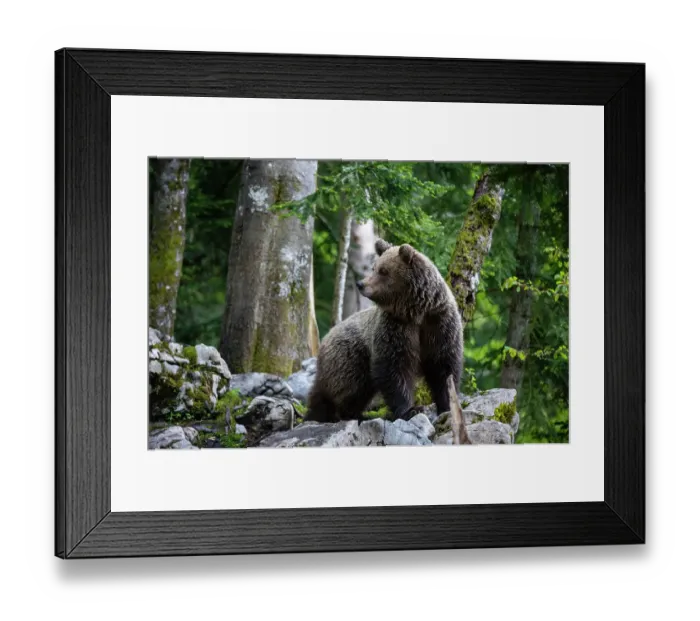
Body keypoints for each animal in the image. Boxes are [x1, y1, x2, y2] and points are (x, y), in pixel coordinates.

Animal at [305, 238, 463, 423]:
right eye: (374, 268)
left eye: (383, 270)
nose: (361, 284)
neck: (415, 312)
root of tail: (325, 338)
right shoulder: (395, 327)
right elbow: (394, 368)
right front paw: (410, 410)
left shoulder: (439, 324)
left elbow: (444, 367)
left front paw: (447, 406)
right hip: (351, 355)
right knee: (349, 387)